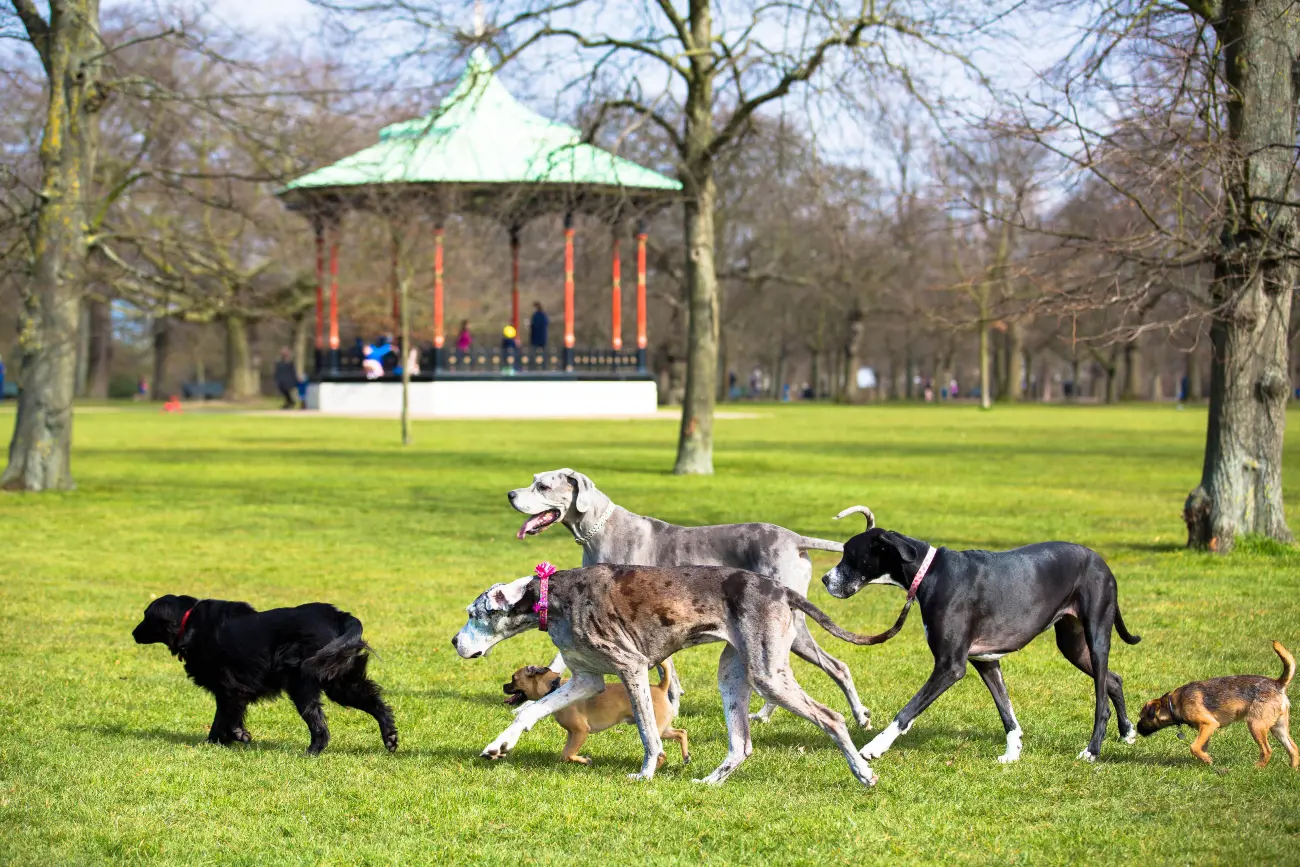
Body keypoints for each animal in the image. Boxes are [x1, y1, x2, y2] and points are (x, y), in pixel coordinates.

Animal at [132, 597, 397, 753]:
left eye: (146, 616)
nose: (133, 633)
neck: (190, 623)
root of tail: (339, 615)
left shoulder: (229, 687)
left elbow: (223, 717)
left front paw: (216, 741)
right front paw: (237, 735)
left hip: (304, 683)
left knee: (318, 722)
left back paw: (313, 750)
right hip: (340, 681)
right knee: (376, 703)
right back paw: (390, 737)